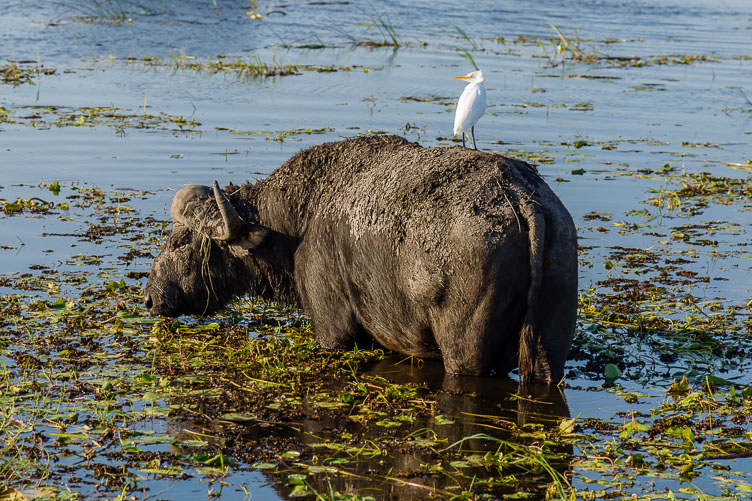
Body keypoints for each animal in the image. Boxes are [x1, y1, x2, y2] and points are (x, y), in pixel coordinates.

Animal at [144, 135, 580, 380]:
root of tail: (522, 197)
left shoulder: (333, 329)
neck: (299, 222)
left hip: (464, 353)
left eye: (180, 241)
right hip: (549, 349)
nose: (150, 297)